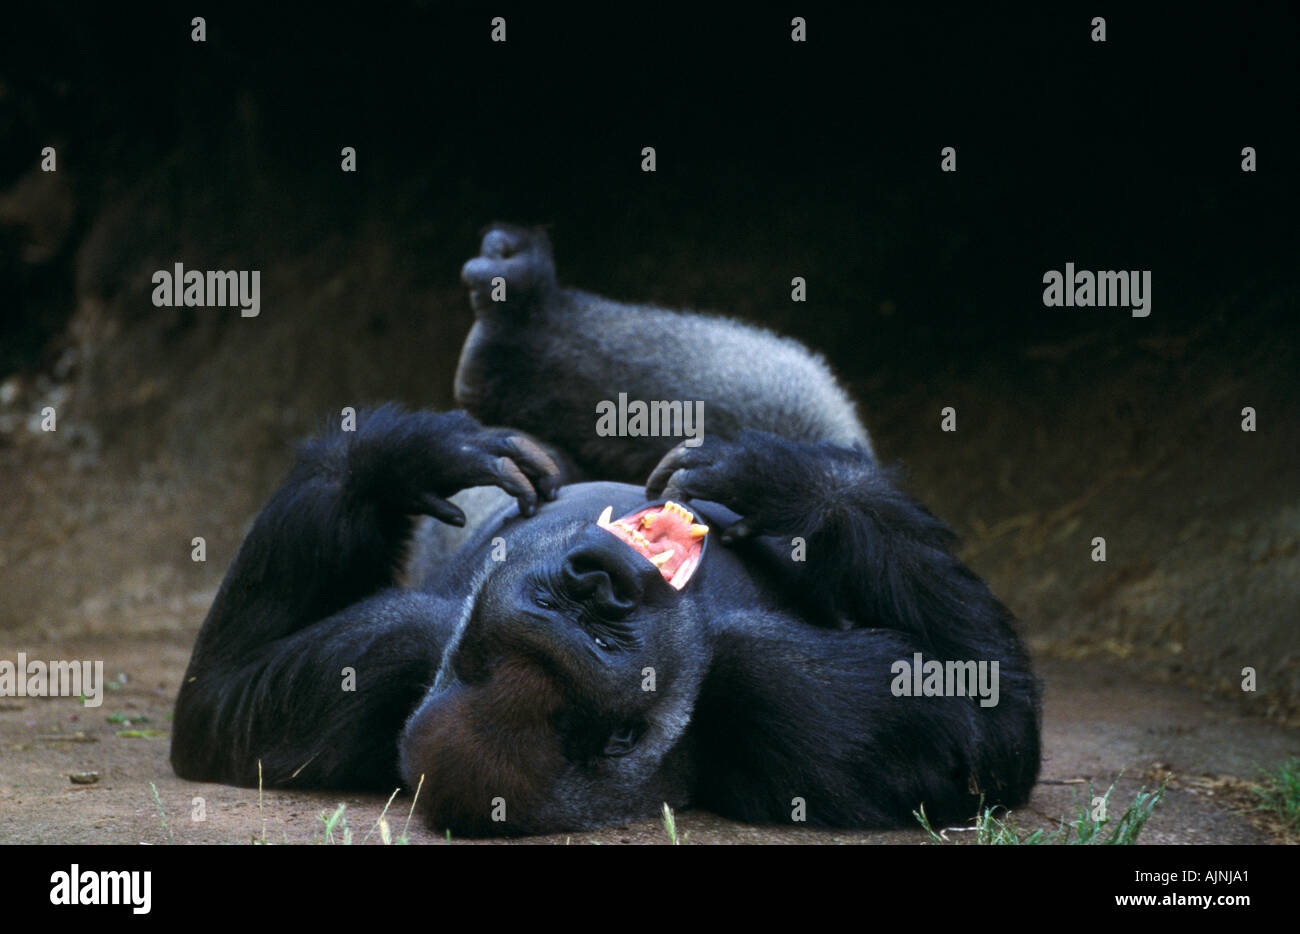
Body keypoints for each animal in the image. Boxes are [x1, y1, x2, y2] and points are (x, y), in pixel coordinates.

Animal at [172, 223, 1040, 837]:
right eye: (593, 635)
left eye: (572, 610)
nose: (600, 580)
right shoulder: (792, 696)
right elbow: (989, 721)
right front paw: (796, 487)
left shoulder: (393, 654)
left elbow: (215, 708)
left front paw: (402, 457)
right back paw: (526, 332)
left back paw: (517, 327)